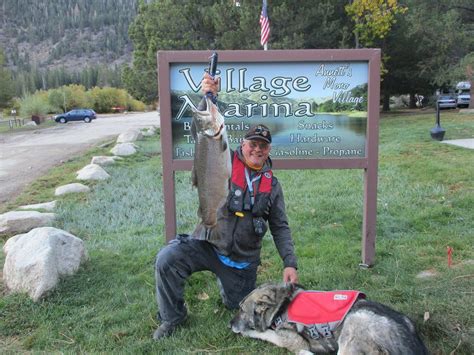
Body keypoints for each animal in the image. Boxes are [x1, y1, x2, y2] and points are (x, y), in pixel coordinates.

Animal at [231, 284, 430, 355]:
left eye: (241, 309)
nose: (229, 324)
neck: (282, 305)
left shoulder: (292, 340)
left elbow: (264, 333)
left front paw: (247, 331)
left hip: (354, 323)